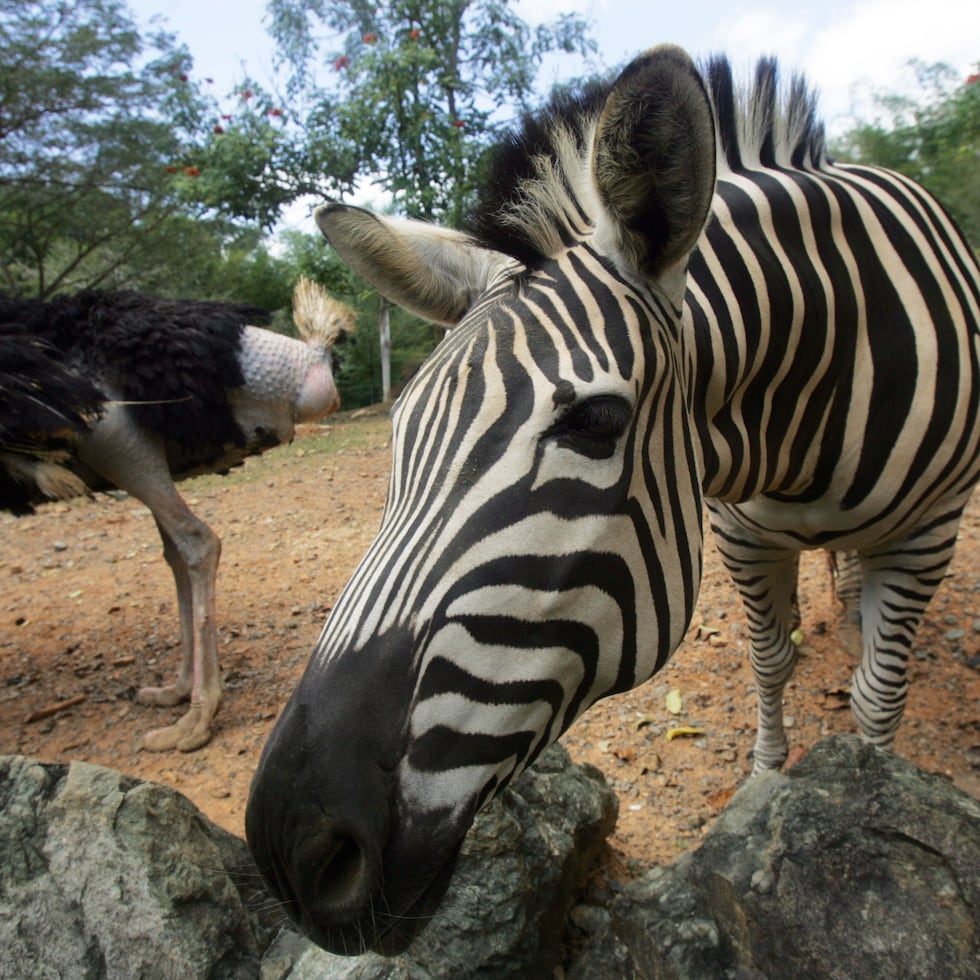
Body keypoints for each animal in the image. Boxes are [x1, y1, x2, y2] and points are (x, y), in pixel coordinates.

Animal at [247, 42, 980, 952]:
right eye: (400, 432)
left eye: (597, 422)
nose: (292, 848)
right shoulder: (742, 533)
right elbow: (770, 661)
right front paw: (767, 784)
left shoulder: (929, 534)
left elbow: (880, 695)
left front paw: (874, 798)